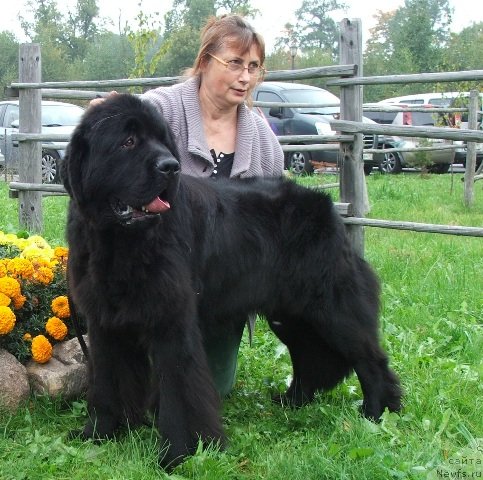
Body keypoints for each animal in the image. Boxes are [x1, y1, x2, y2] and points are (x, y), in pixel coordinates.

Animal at [62, 93, 402, 468]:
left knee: (369, 358)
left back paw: (377, 411)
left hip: (331, 307)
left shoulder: (171, 322)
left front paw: (178, 455)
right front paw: (99, 434)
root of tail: (327, 206)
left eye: (163, 141)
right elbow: (107, 383)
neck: (119, 243)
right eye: (128, 142)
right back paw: (292, 401)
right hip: (291, 314)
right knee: (309, 356)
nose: (170, 167)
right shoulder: (106, 323)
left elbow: (179, 390)